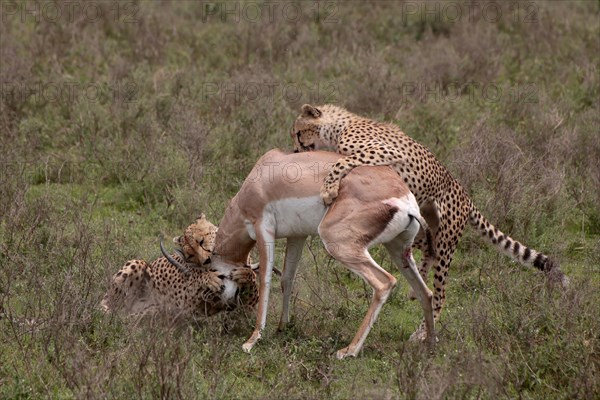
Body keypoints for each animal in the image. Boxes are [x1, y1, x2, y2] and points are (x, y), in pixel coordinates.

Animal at [101, 216, 260, 318]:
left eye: (201, 241)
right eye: (191, 254)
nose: (207, 260)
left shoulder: (247, 308)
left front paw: (245, 273)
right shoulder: (186, 303)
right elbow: (194, 282)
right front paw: (207, 277)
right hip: (137, 264)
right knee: (109, 309)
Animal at [290, 102, 568, 332]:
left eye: (297, 133)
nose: (294, 151)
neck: (339, 126)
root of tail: (466, 196)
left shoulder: (386, 153)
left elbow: (342, 163)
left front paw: (328, 190)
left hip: (446, 240)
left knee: (440, 291)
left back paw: (421, 334)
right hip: (418, 224)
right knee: (426, 251)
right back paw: (418, 285)